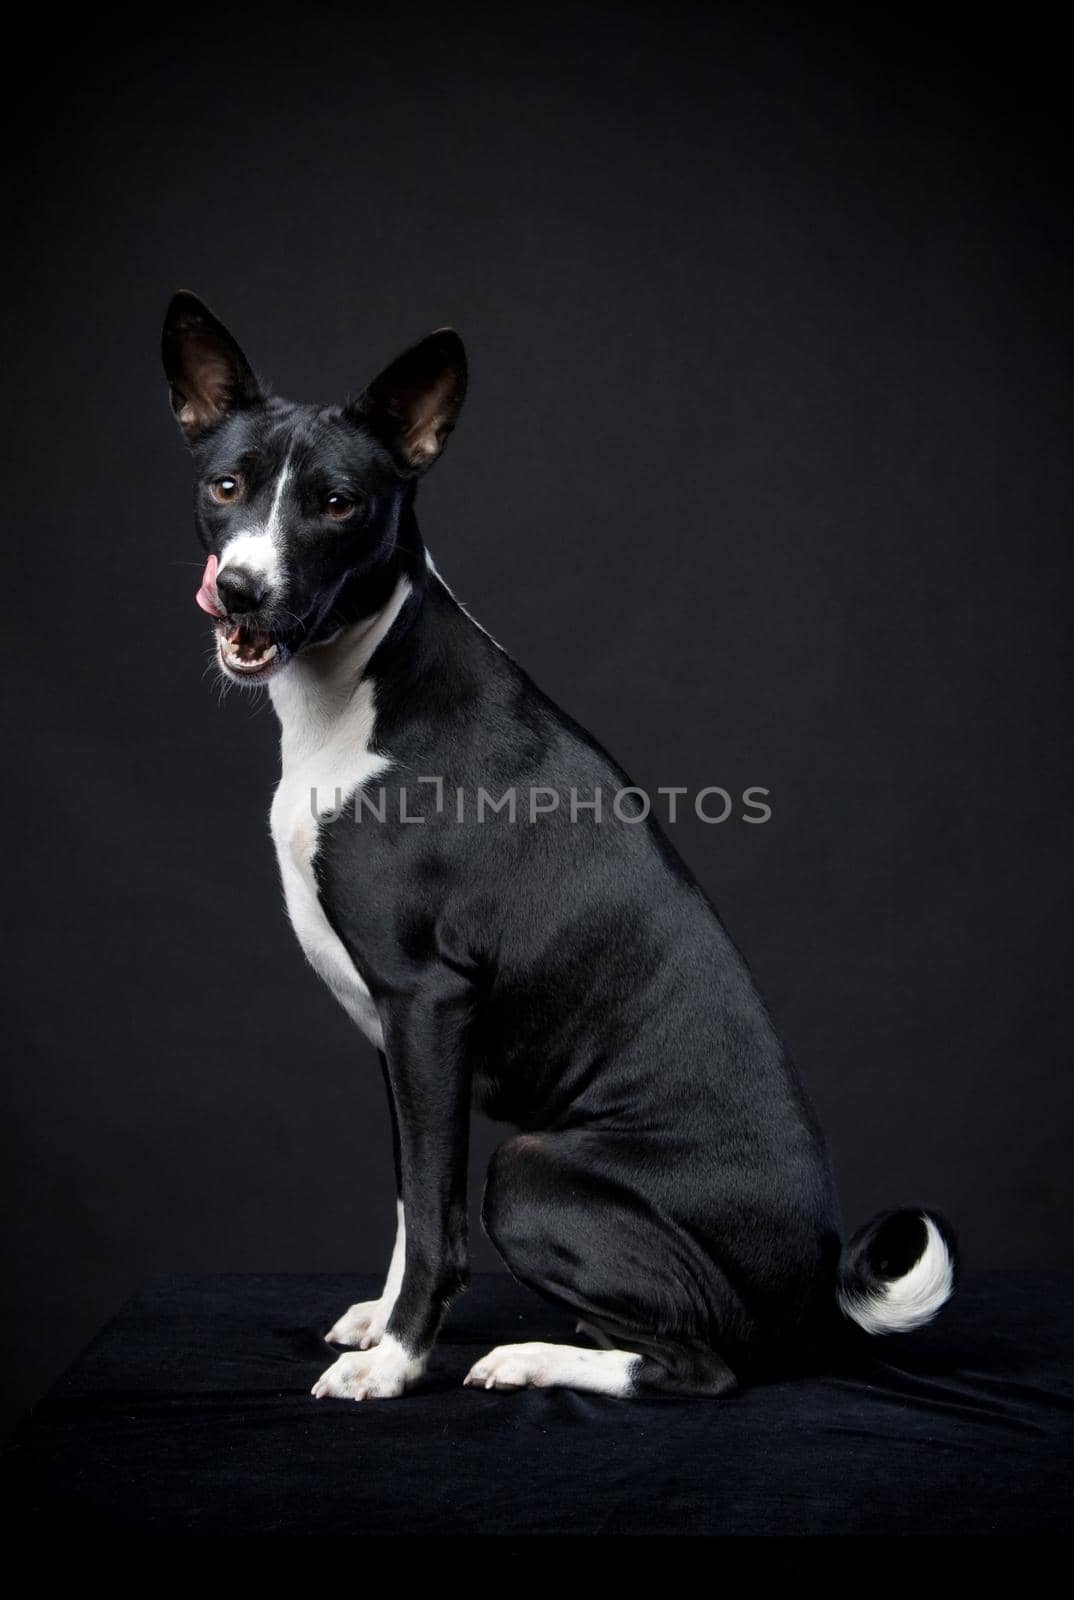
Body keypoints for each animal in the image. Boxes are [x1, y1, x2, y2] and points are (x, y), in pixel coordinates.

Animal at [161, 291, 960, 1401]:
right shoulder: (397, 1035)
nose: (239, 590)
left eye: (337, 503)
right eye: (227, 485)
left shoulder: (427, 1002)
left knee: (700, 1365)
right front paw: (381, 1325)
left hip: (532, 1167)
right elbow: (410, 1195)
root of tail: (817, 1304)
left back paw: (533, 1357)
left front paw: (398, 1360)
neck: (361, 688)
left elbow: (438, 1219)